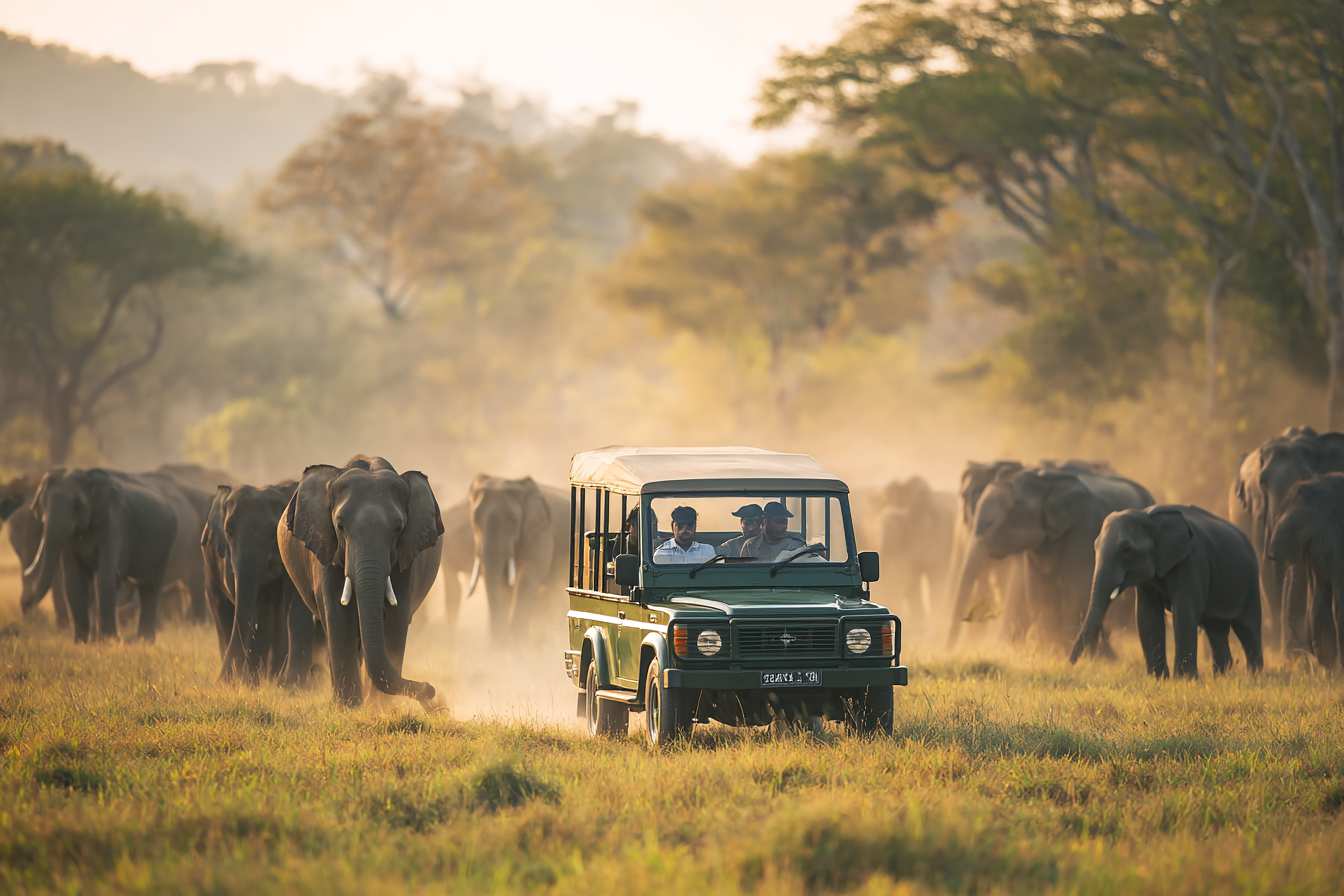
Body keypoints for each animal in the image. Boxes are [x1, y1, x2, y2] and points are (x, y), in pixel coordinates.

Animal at [203, 481, 318, 686]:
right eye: (228, 532)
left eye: (274, 534)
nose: (219, 682)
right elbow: (255, 603)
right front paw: (248, 682)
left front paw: (289, 685)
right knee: (221, 610)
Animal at [278, 456, 443, 708]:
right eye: (340, 526)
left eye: (397, 528)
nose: (430, 690)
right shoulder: (326, 552)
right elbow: (338, 616)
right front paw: (348, 708)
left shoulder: (406, 559)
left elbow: (395, 620)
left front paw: (380, 709)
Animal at [949, 461, 1154, 651]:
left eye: (994, 522)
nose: (950, 650)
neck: (1045, 482)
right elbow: (1039, 590)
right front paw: (1051, 648)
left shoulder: (1084, 530)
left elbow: (1076, 588)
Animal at [1071, 505, 1262, 677]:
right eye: (1095, 546)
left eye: (1127, 549)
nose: (1071, 663)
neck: (1149, 516)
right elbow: (1146, 615)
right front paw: (1158, 679)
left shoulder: (1192, 560)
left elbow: (1184, 611)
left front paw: (1184, 681)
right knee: (1216, 629)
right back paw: (1222, 676)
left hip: (1251, 582)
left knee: (1248, 629)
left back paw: (1255, 677)